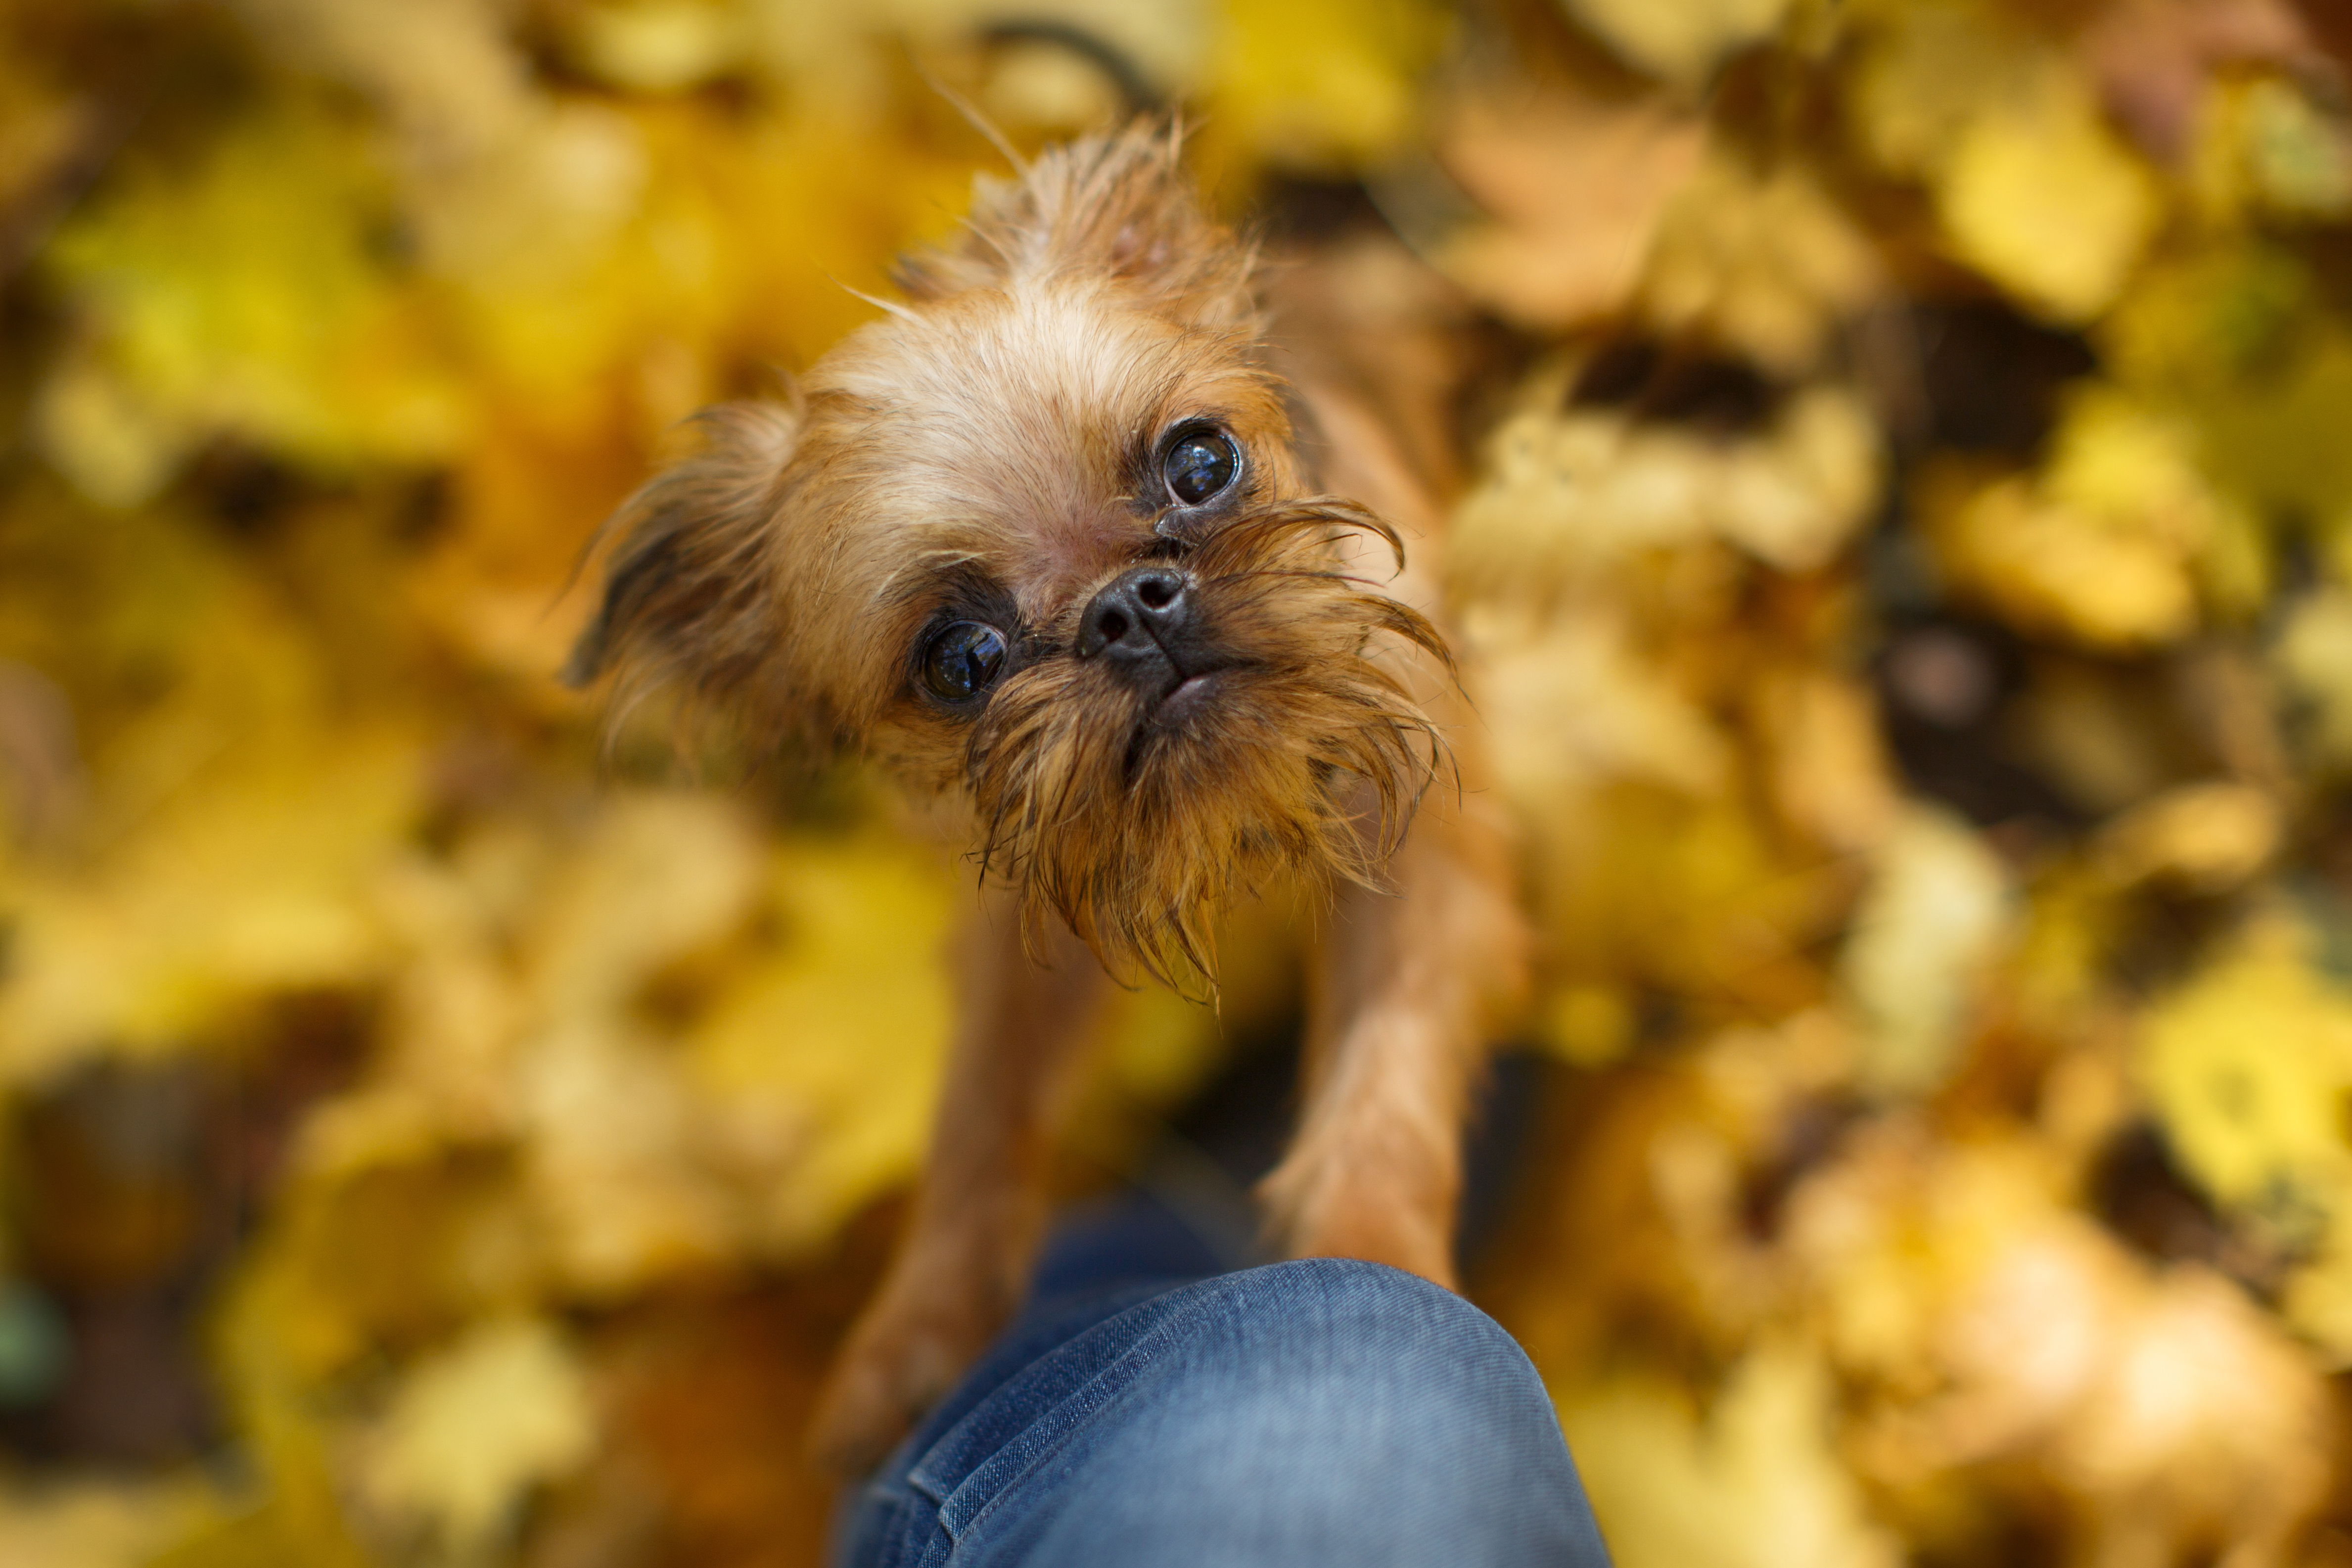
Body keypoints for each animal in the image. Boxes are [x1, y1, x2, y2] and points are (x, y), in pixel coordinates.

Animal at [564, 120, 1524, 1476]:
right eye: (960, 659)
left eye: (1199, 460)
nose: (1125, 606)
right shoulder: (1033, 932)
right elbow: (978, 1111)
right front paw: (916, 1334)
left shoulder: (1422, 848)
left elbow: (1385, 1073)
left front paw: (1370, 1246)